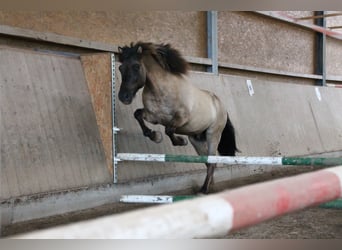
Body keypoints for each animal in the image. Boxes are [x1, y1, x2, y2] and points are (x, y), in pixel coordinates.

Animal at [117, 42, 238, 193]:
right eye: (120, 68)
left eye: (136, 66)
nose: (123, 97)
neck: (162, 91)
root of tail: (221, 105)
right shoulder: (154, 117)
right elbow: (138, 115)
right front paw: (155, 136)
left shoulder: (181, 118)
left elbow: (169, 130)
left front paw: (180, 141)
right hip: (197, 140)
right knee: (209, 162)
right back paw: (208, 186)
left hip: (213, 135)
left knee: (211, 162)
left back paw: (203, 190)